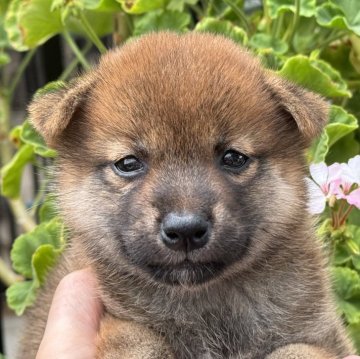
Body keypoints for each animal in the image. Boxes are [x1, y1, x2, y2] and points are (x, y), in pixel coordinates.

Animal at [19, 32, 352, 358]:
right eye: (128, 163)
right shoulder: (120, 324)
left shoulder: (323, 335)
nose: (185, 230)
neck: (205, 305)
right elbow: (138, 340)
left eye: (234, 158)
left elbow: (296, 350)